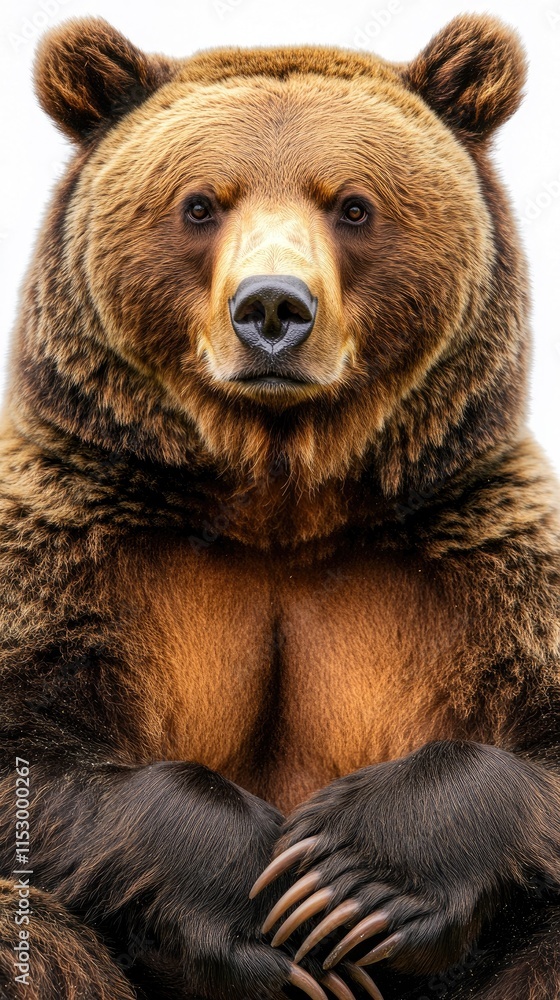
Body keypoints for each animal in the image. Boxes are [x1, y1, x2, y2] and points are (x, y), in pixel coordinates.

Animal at [0, 11, 559, 1000]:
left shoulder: (482, 560)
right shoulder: (72, 548)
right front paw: (264, 900)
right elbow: (35, 758)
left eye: (353, 205)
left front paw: (347, 874)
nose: (272, 309)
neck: (279, 498)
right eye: (199, 203)